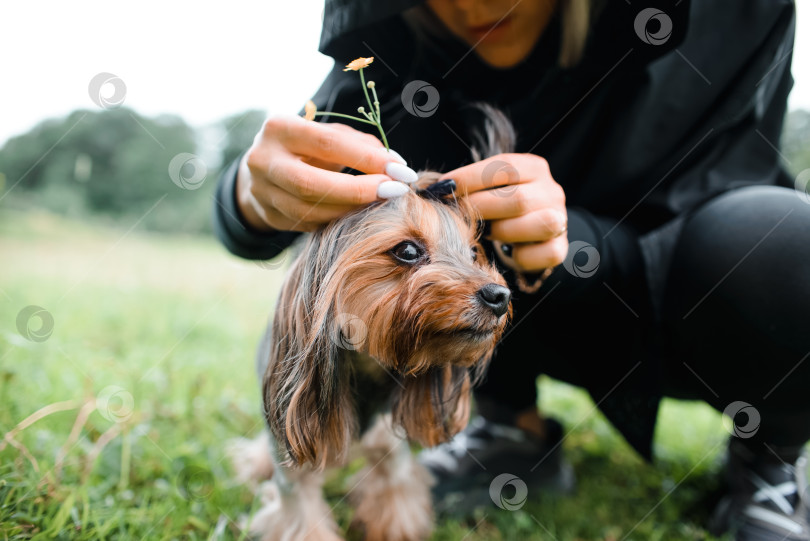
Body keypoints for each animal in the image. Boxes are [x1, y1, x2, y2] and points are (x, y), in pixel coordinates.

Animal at [230, 105, 516, 540]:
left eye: (472, 253)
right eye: (408, 250)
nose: (499, 296)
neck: (365, 371)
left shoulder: (391, 452)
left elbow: (395, 498)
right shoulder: (294, 474)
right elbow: (301, 513)